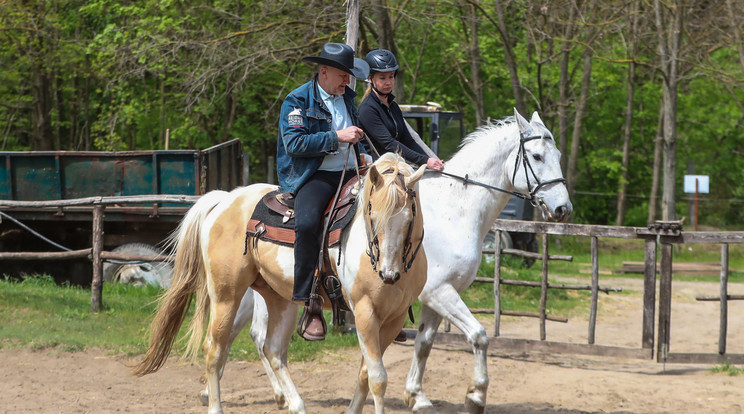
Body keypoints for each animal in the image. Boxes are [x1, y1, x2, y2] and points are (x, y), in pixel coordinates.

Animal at [131, 153, 428, 414]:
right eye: (372, 216)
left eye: (409, 217)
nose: (388, 274)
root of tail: (225, 200)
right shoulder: (365, 313)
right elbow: (378, 378)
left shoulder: (393, 319)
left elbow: (365, 374)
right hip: (226, 296)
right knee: (214, 348)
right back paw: (216, 406)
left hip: (280, 299)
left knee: (272, 349)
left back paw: (295, 404)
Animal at [212, 108, 572, 412]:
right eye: (537, 156)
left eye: (557, 155)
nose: (563, 208)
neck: (455, 209)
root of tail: (230, 198)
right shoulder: (441, 293)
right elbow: (479, 336)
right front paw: (476, 395)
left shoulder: (433, 299)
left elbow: (424, 343)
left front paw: (417, 396)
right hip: (240, 293)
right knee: (236, 340)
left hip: (273, 295)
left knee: (260, 342)